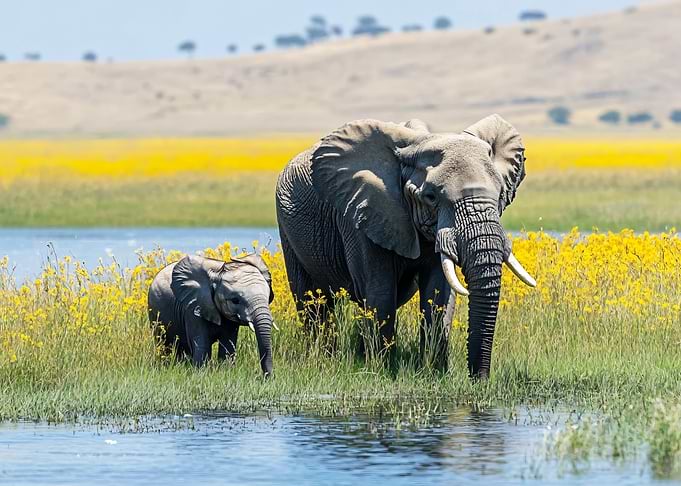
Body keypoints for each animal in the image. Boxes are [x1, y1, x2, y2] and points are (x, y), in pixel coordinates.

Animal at [275, 115, 535, 378]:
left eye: (501, 194)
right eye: (431, 197)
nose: (479, 379)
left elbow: (438, 294)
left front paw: (434, 372)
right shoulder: (363, 215)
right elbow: (380, 293)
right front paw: (380, 369)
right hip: (288, 228)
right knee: (312, 302)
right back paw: (324, 358)